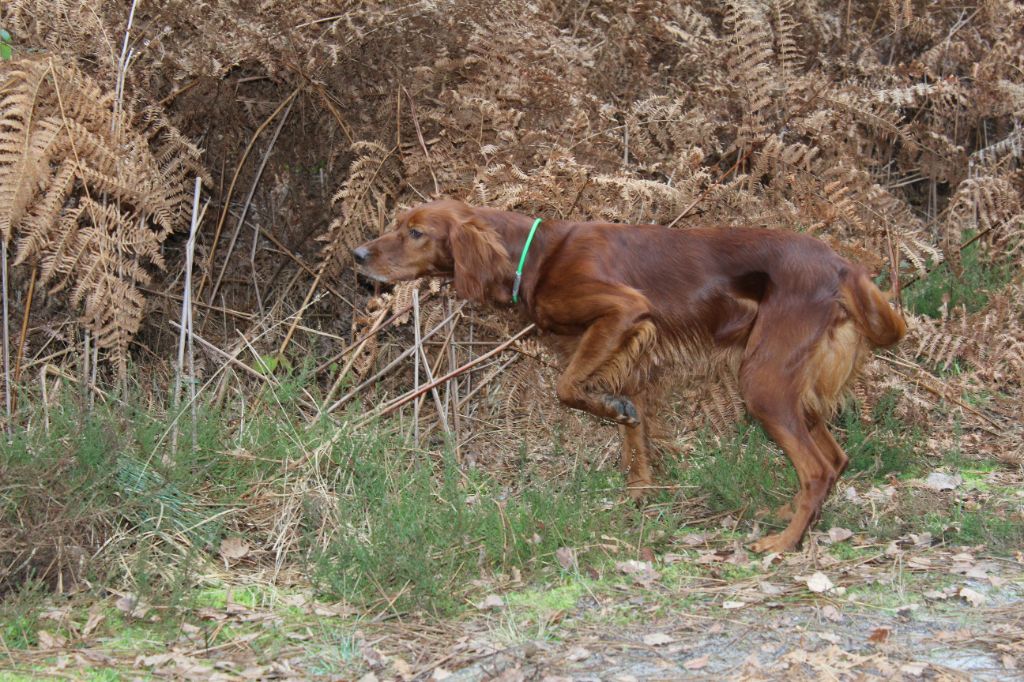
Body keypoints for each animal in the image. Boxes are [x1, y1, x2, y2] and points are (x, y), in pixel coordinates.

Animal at [352, 199, 905, 548]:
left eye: (416, 232)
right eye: (398, 223)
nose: (357, 255)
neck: (539, 253)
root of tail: (843, 266)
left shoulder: (622, 311)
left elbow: (567, 388)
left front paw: (614, 418)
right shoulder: (628, 355)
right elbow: (632, 432)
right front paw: (638, 493)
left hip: (764, 381)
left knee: (816, 468)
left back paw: (783, 543)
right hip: (797, 387)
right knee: (835, 459)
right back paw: (793, 518)